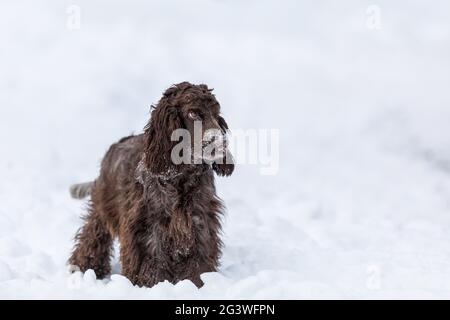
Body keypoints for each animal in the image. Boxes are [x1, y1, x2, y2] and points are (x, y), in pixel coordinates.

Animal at [69, 82, 236, 288]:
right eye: (193, 114)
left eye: (215, 113)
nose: (221, 143)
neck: (180, 177)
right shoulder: (149, 227)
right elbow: (152, 261)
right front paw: (151, 285)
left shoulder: (200, 222)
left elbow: (198, 262)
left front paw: (198, 283)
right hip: (103, 206)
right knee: (93, 235)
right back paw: (85, 267)